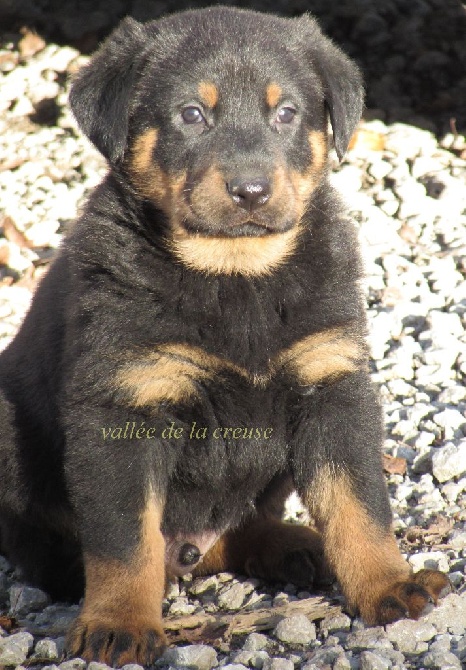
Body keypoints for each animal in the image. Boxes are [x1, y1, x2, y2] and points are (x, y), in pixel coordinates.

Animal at [0, 7, 452, 668]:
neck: (235, 274)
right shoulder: (124, 403)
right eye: (192, 114)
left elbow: (358, 502)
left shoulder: (331, 384)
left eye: (285, 113)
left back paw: (294, 544)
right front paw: (118, 622)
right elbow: (122, 538)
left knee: (238, 526)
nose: (251, 190)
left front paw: (388, 584)